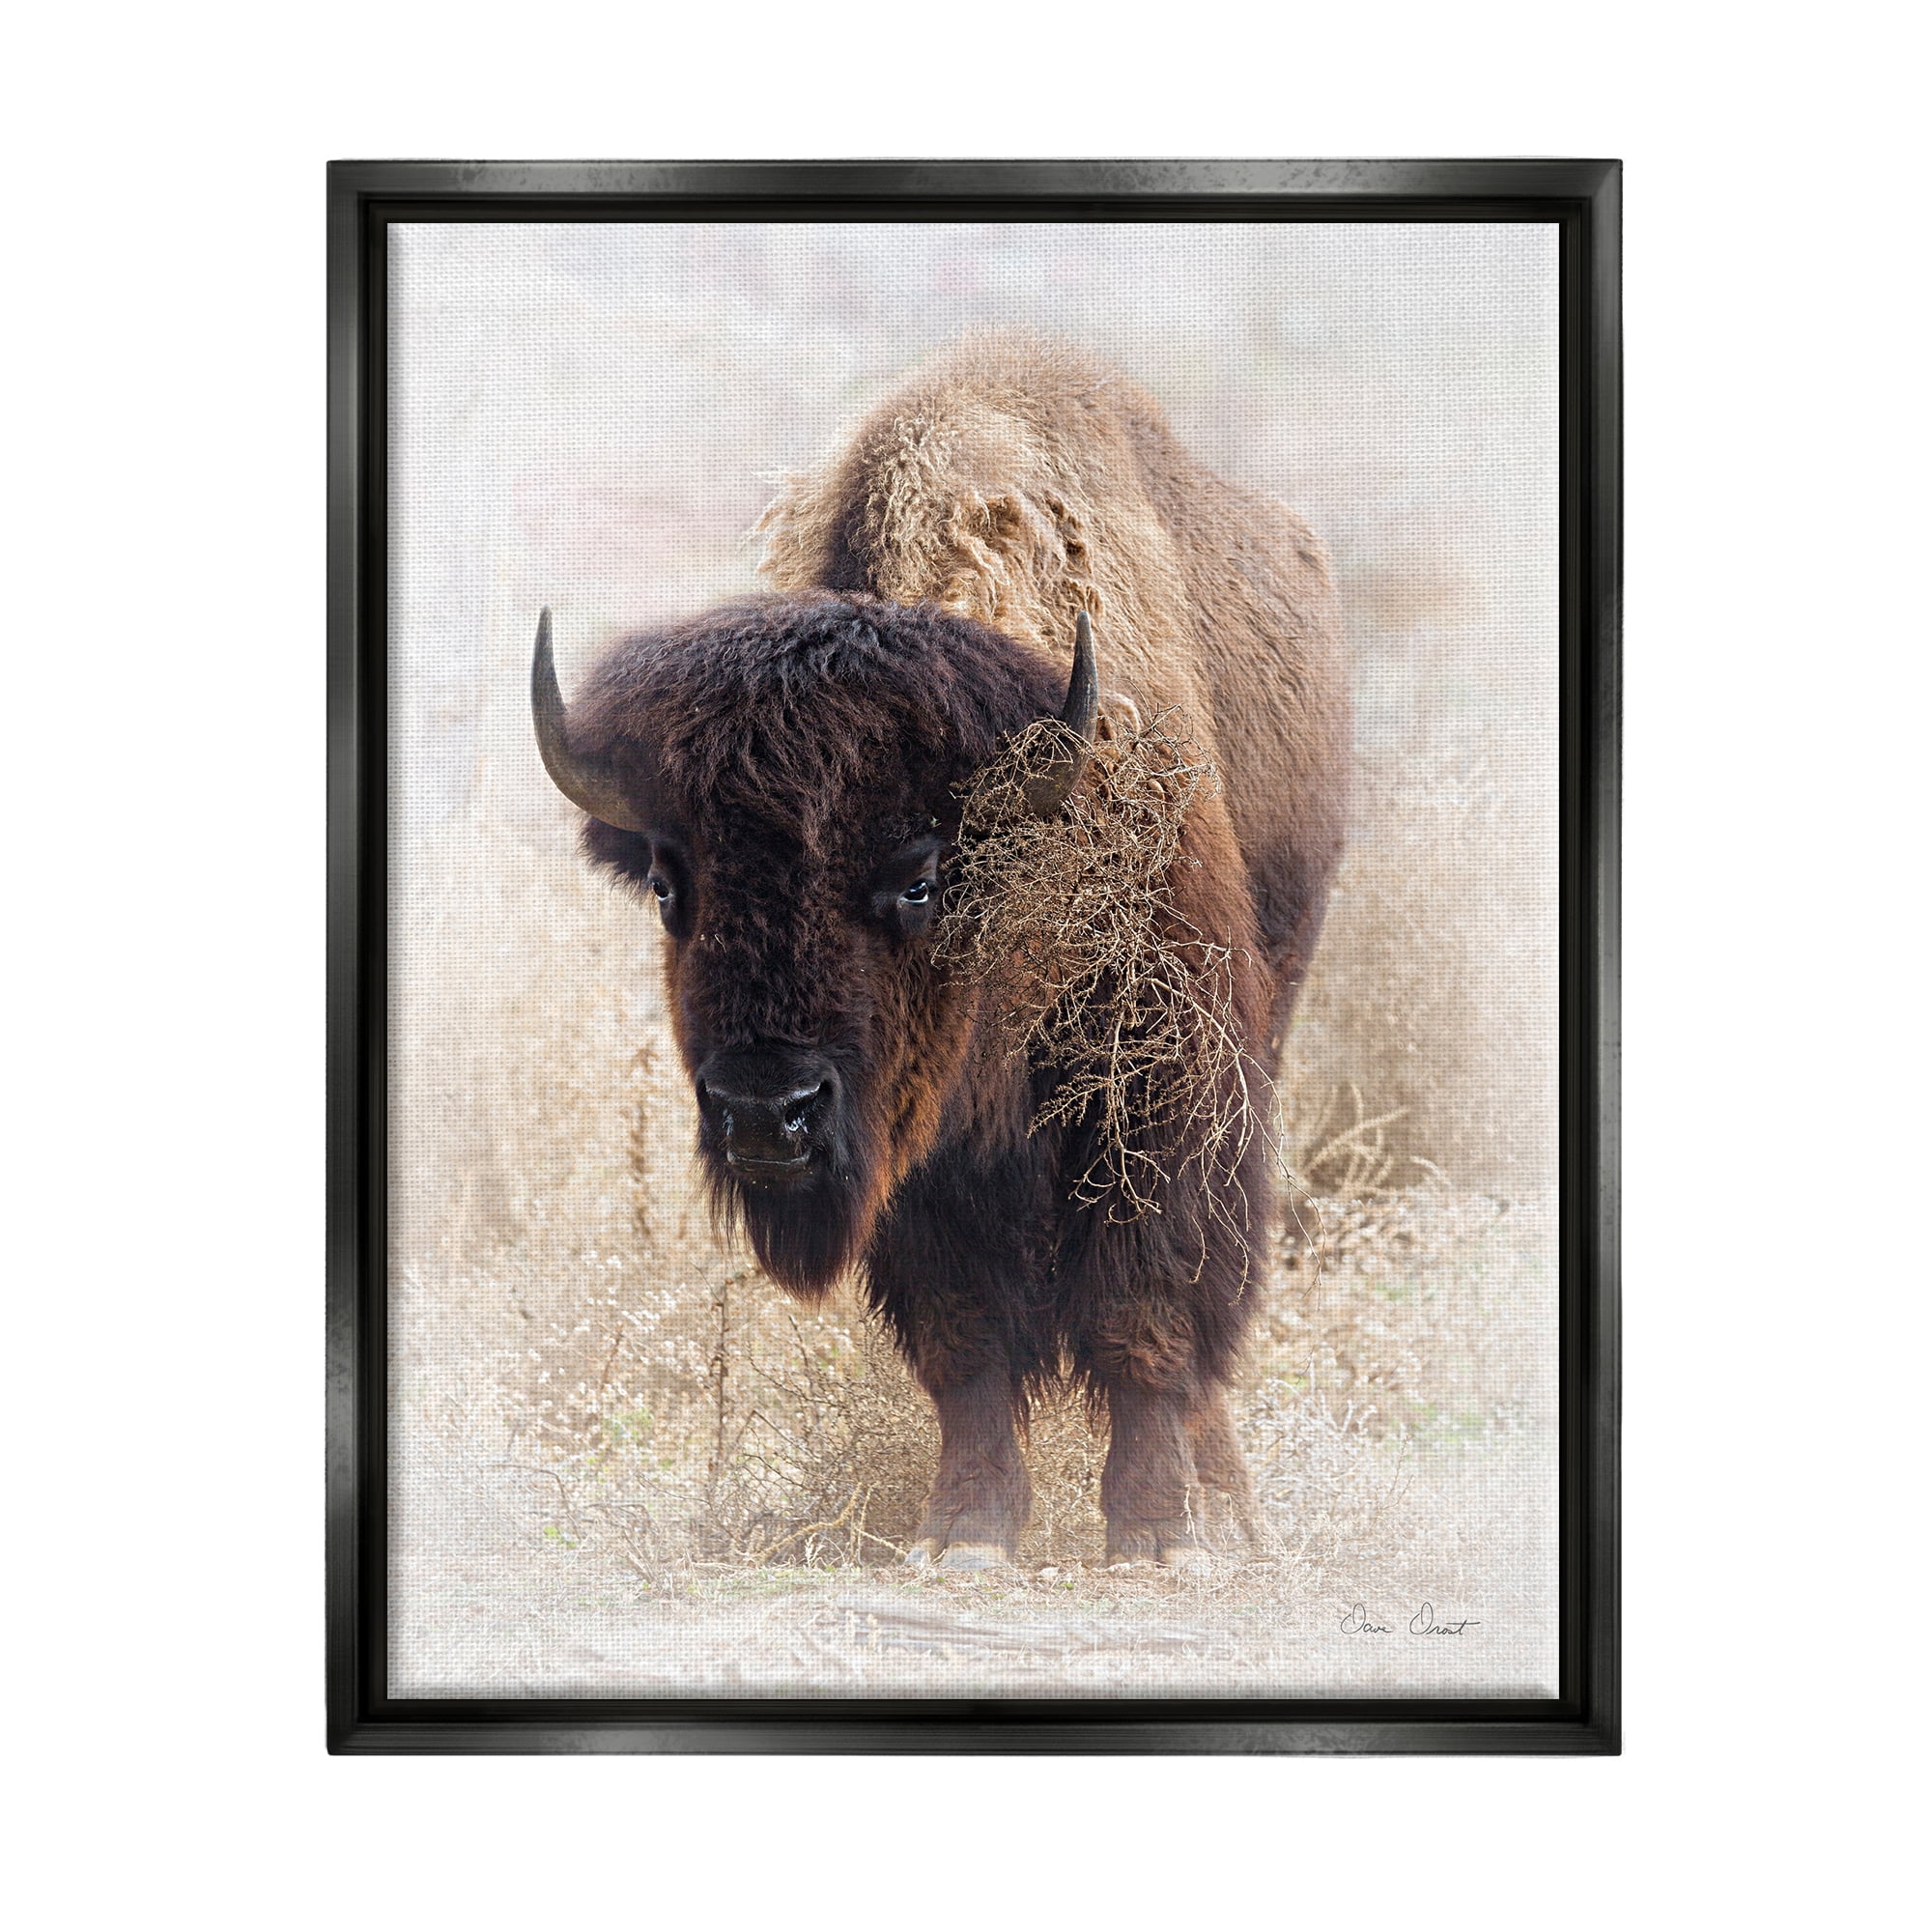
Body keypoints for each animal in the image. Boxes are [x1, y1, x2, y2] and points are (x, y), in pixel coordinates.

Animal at [531, 333, 1349, 1570]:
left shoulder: (1162, 1088)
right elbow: (964, 1337)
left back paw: (1227, 1510)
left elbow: (1145, 1307)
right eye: (671, 884)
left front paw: (1154, 1533)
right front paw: (966, 1527)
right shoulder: (919, 1157)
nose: (764, 1112)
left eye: (918, 875)